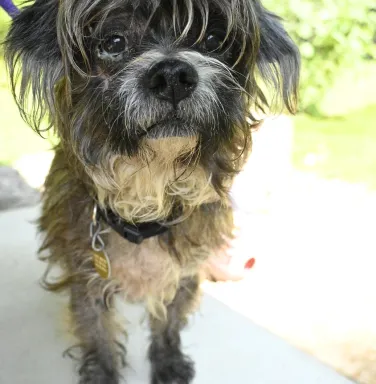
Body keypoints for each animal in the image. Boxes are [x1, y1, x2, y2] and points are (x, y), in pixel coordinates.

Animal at [5, 1, 300, 382]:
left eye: (214, 38)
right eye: (113, 42)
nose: (172, 75)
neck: (150, 188)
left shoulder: (185, 271)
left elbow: (169, 322)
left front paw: (168, 360)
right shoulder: (87, 278)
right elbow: (97, 333)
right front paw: (102, 372)